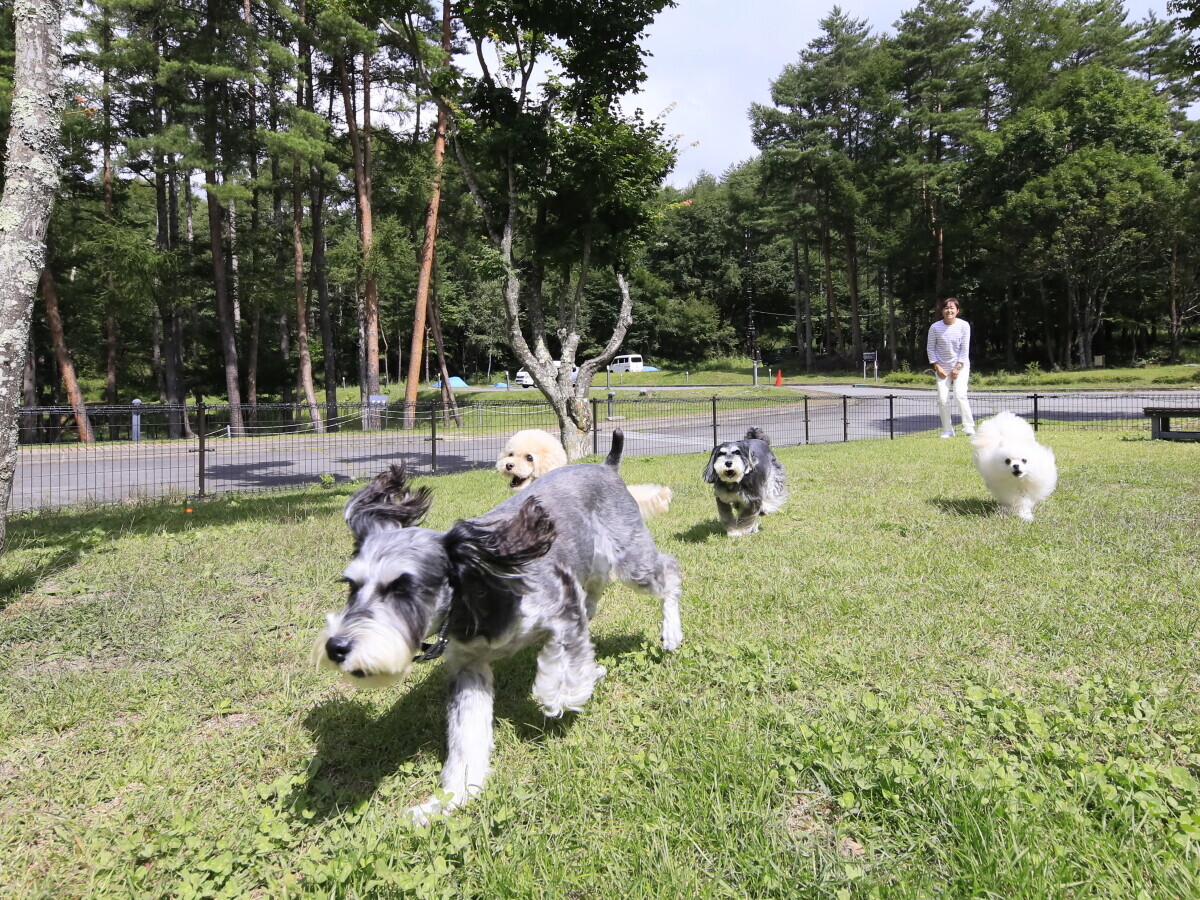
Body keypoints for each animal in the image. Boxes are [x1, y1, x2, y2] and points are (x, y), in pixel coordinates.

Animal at [312, 432, 686, 825]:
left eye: (403, 587)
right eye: (351, 586)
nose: (336, 647)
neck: (479, 593)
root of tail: (606, 467)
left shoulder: (561, 604)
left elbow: (561, 666)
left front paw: (562, 692)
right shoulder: (468, 667)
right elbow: (466, 737)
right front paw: (451, 797)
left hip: (633, 560)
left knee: (668, 572)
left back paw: (671, 633)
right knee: (597, 594)